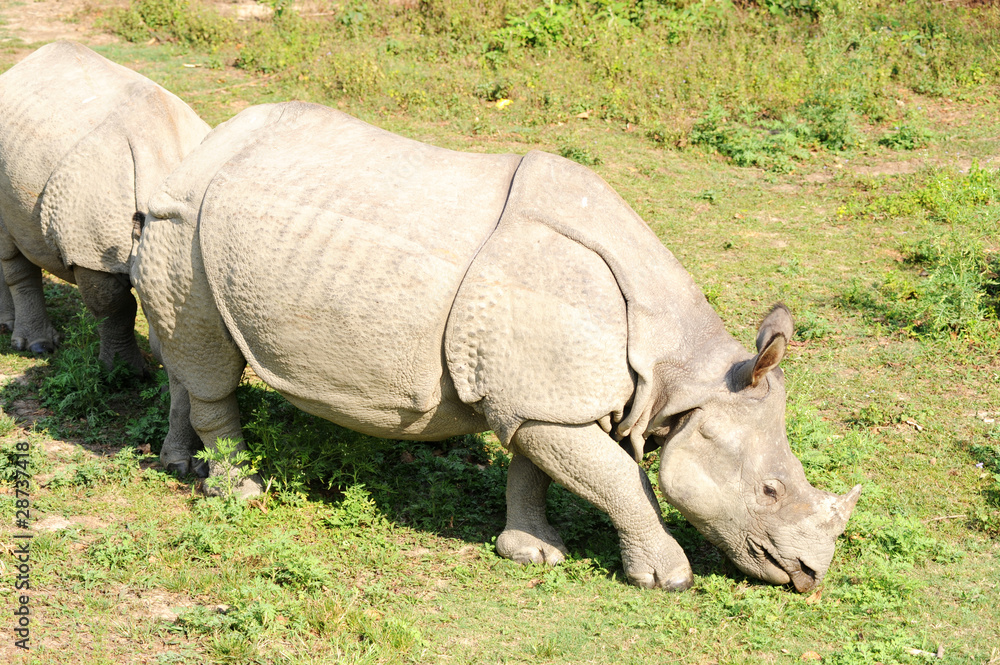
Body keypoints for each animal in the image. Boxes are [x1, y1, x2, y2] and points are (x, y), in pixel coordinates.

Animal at [133, 101, 860, 592]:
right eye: (769, 490)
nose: (810, 573)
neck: (681, 372)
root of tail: (202, 149)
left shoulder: (540, 398)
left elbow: (535, 469)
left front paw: (532, 552)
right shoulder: (547, 397)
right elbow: (620, 478)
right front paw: (668, 578)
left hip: (195, 223)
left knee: (189, 354)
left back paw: (181, 465)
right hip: (186, 217)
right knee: (207, 360)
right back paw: (241, 493)